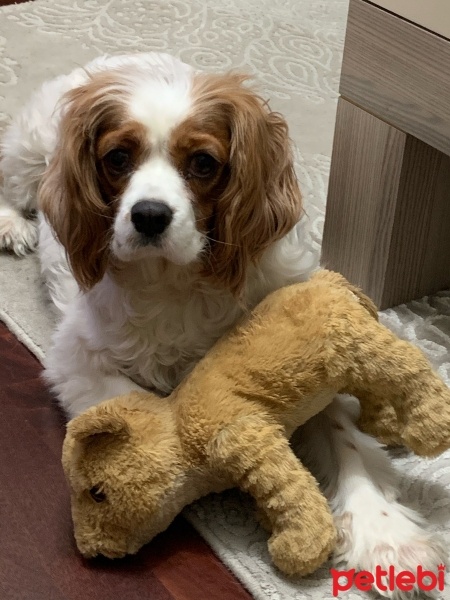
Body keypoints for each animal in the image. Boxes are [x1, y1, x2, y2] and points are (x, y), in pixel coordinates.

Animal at [0, 52, 442, 596]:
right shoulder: (76, 357)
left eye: (204, 164)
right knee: (10, 184)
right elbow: (139, 409)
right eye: (118, 158)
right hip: (30, 154)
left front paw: (385, 534)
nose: (149, 216)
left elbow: (343, 435)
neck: (177, 279)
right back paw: (12, 225)